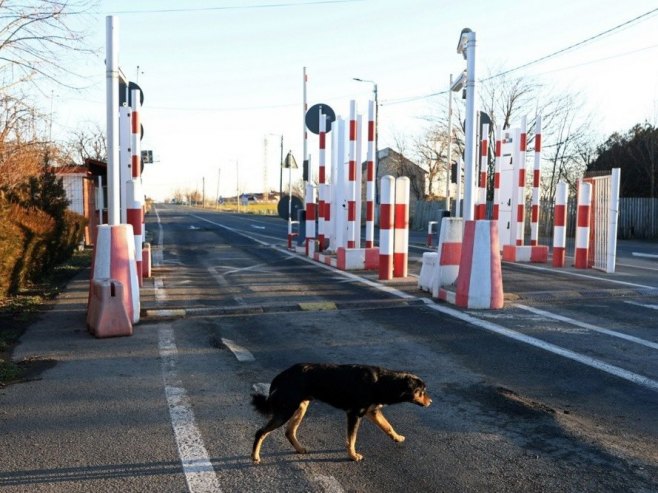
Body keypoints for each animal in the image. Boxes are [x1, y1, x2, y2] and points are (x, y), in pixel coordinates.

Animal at [251, 362, 430, 462]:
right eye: (422, 391)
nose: (431, 402)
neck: (382, 382)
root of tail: (280, 376)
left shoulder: (372, 411)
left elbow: (388, 426)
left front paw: (397, 438)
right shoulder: (355, 414)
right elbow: (351, 439)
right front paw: (353, 456)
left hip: (300, 407)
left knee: (289, 431)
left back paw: (300, 449)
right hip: (286, 409)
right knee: (261, 432)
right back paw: (255, 456)